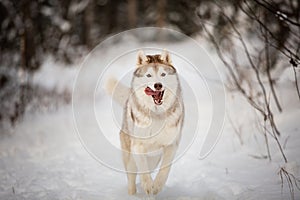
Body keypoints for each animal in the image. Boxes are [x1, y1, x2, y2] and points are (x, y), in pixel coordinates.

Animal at [106, 50, 184, 195]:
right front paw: (148, 185)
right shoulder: (138, 146)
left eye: (163, 74)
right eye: (148, 75)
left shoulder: (171, 145)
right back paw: (133, 194)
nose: (158, 85)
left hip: (153, 159)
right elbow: (143, 169)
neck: (157, 115)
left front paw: (157, 186)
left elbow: (165, 170)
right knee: (131, 177)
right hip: (131, 158)